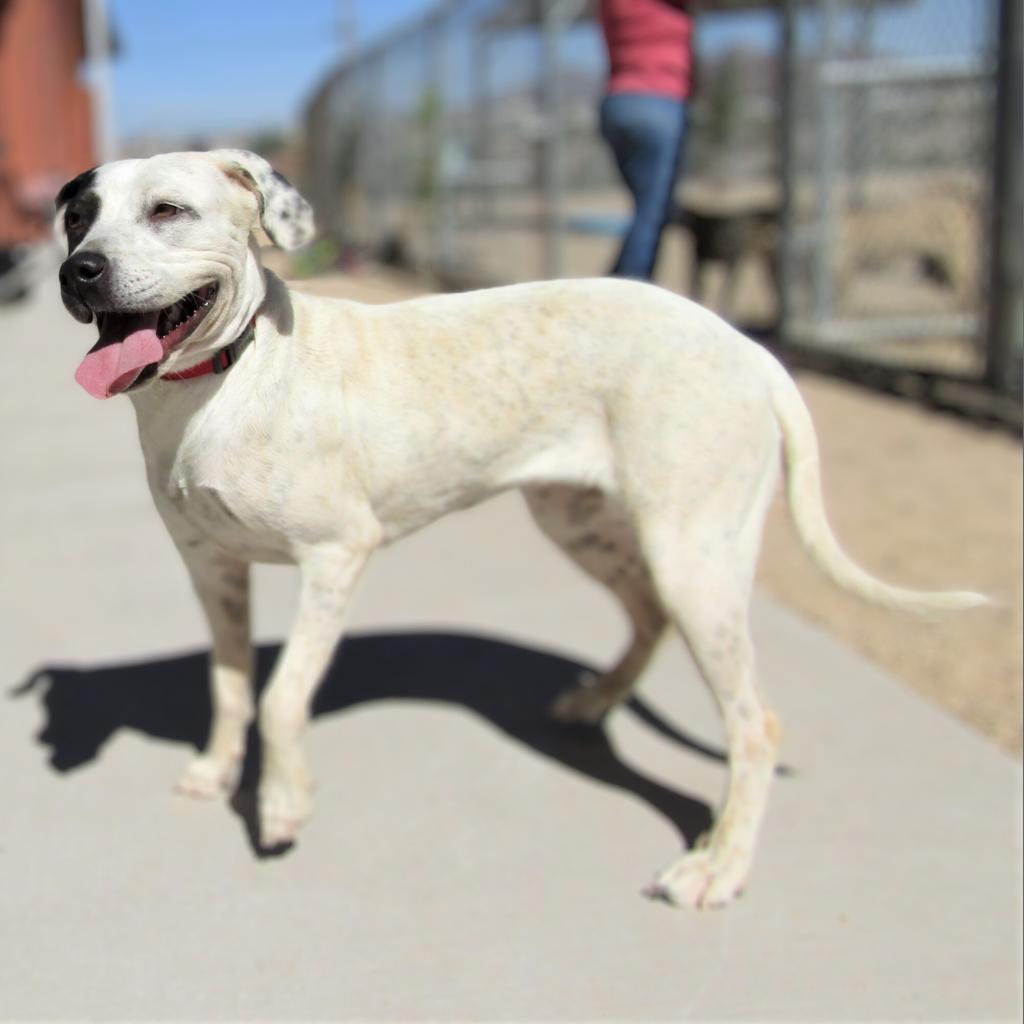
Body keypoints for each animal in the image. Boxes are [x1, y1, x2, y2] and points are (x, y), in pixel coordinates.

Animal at [54, 149, 983, 905]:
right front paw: (217, 773)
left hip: (695, 558)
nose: (79, 271)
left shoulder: (336, 557)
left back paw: (720, 867)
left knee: (755, 726)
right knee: (646, 619)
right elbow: (233, 687)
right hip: (585, 526)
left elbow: (282, 698)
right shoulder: (211, 569)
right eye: (77, 216)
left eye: (168, 211)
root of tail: (748, 348)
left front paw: (283, 804)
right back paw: (595, 702)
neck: (225, 380)